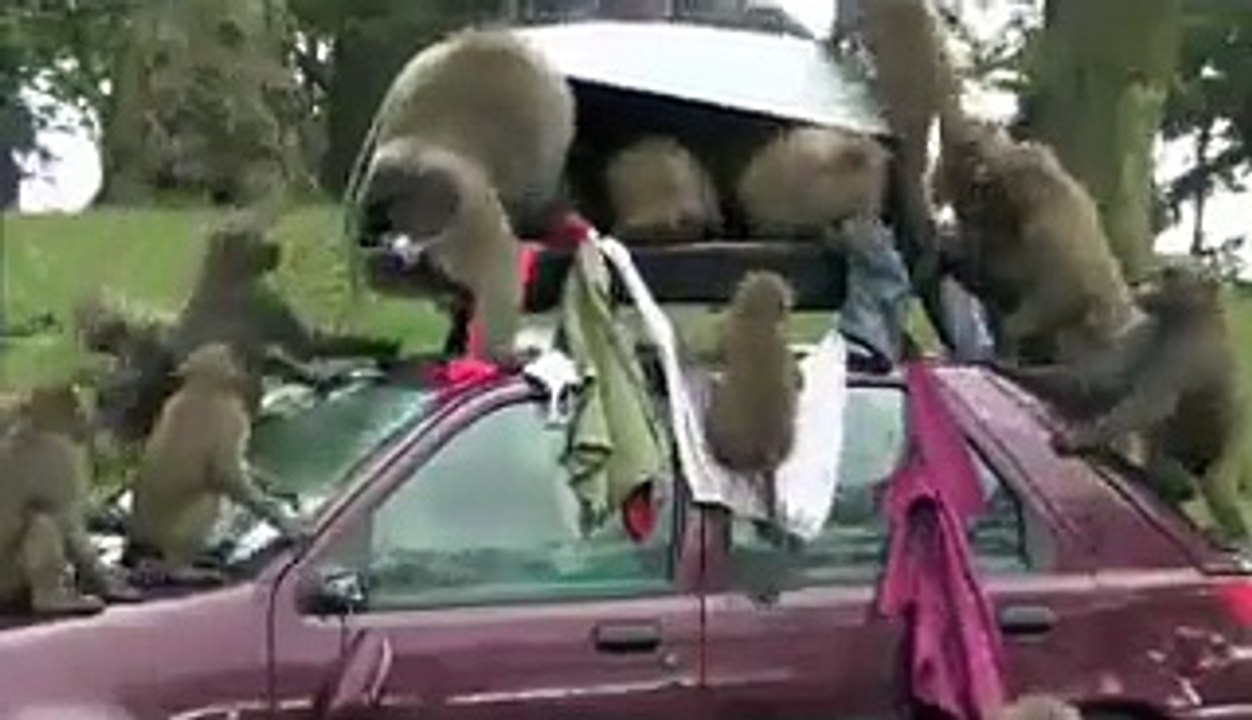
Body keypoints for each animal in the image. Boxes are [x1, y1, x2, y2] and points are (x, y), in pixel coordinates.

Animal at [0, 384, 140, 616]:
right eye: (76, 408)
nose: (83, 424)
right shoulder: (56, 449)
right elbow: (67, 521)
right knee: (42, 518)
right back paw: (52, 600)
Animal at [125, 343, 303, 572]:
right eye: (232, 356)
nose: (244, 364)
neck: (203, 388)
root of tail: (143, 538)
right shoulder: (232, 417)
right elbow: (225, 474)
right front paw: (285, 522)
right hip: (172, 536)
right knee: (210, 496)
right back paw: (181, 568)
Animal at [996, 263, 1250, 541]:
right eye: (1160, 272)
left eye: (1168, 273)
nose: (1139, 283)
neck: (1191, 315)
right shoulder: (1149, 331)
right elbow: (1101, 380)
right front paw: (1006, 367)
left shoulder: (1185, 353)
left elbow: (1150, 405)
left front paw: (1079, 437)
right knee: (1166, 464)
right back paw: (1173, 489)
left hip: (1234, 440)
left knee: (1216, 482)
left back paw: (1233, 534)